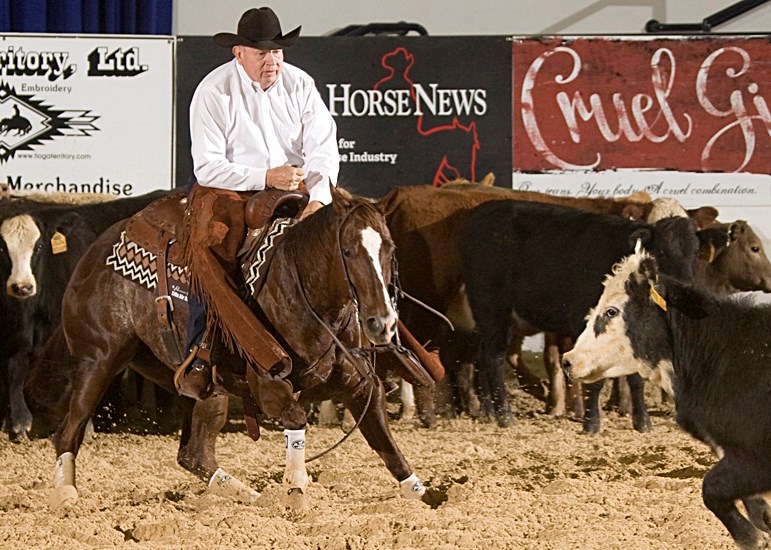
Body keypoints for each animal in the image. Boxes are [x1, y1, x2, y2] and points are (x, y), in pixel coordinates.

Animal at [0, 192, 172, 442]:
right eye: (2, 248)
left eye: (39, 246)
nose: (21, 286)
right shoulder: (14, 330)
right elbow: (15, 367)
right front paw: (19, 423)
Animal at [48, 190, 434, 512]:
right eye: (349, 250)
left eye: (389, 249)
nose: (380, 322)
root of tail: (93, 252)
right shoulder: (270, 386)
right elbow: (297, 421)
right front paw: (296, 493)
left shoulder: (361, 387)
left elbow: (386, 443)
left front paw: (425, 496)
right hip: (98, 361)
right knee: (67, 431)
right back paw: (65, 496)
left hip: (206, 389)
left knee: (194, 454)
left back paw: (254, 497)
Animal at [462, 201, 704, 430]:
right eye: (661, 252)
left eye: (695, 252)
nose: (685, 286)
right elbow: (594, 377)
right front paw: (591, 423)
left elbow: (636, 377)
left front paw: (642, 422)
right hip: (494, 309)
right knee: (494, 356)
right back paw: (505, 416)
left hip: (486, 316)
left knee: (481, 353)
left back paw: (489, 412)